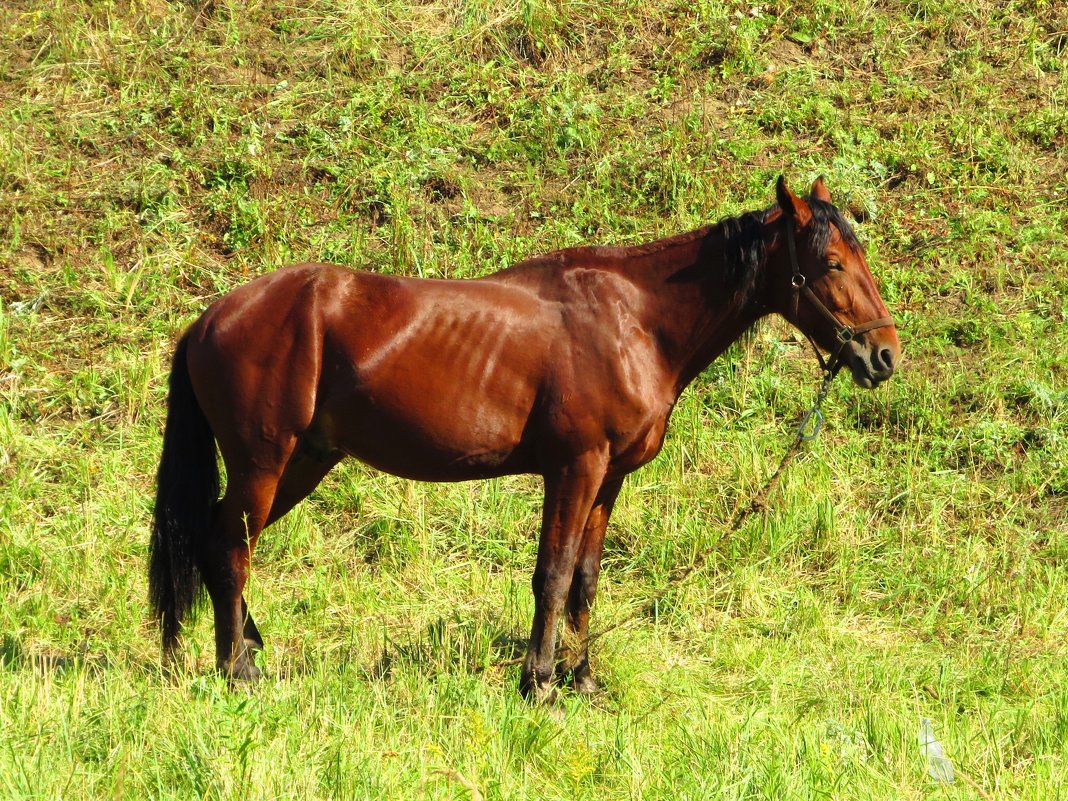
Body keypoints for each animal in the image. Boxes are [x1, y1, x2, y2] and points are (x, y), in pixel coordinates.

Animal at [148, 177, 901, 700]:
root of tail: (212, 317)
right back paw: (237, 669)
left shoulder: (608, 479)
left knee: (220, 541)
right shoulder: (575, 467)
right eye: (833, 263)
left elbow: (586, 580)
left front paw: (582, 676)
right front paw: (538, 681)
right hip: (264, 461)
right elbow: (553, 572)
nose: (885, 355)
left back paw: (247, 649)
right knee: (230, 546)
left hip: (303, 461)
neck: (634, 319)